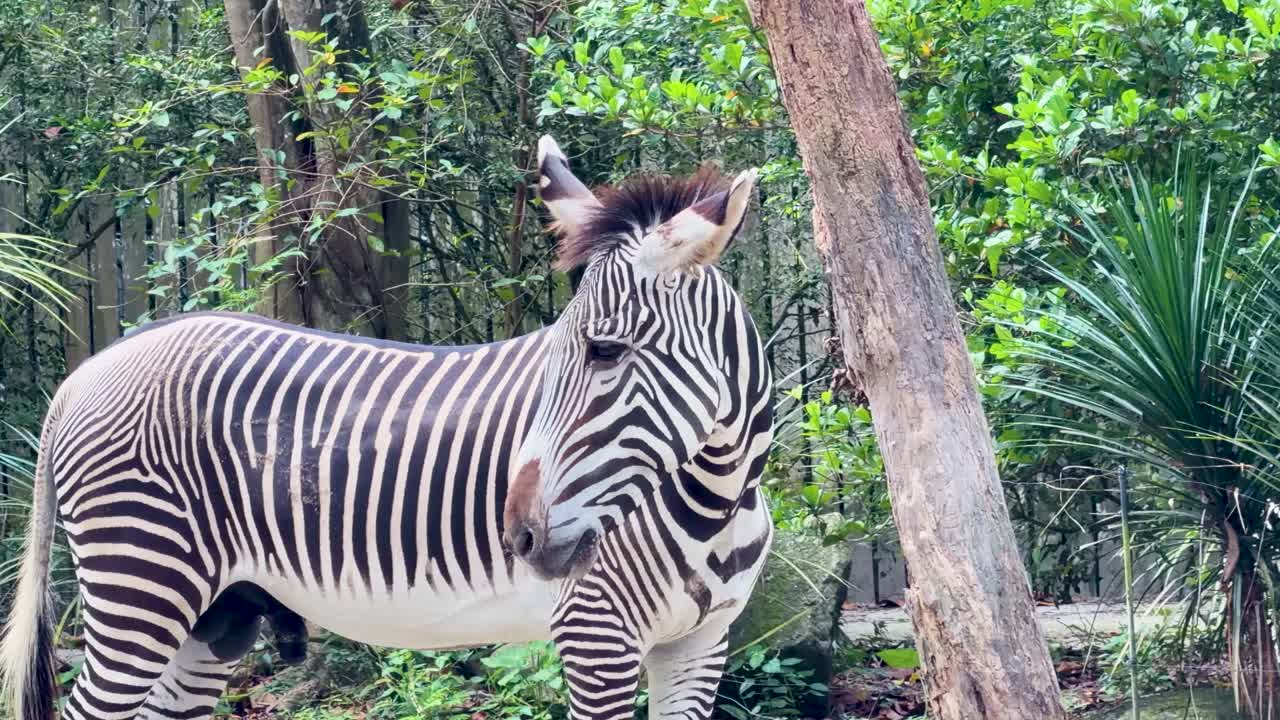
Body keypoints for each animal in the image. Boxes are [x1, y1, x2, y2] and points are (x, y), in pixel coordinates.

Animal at [1, 135, 775, 720]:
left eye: (605, 352)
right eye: (559, 350)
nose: (518, 536)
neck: (718, 497)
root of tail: (87, 370)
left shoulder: (700, 646)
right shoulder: (596, 637)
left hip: (213, 615)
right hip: (141, 582)